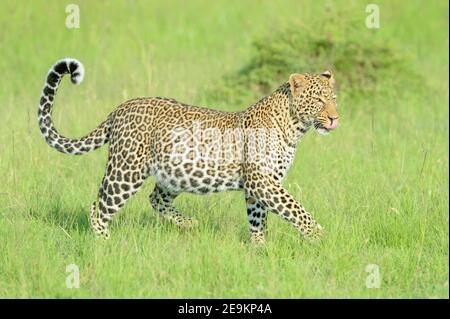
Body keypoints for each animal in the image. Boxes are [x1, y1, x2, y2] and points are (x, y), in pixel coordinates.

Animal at [38, 57, 340, 244]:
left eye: (334, 98)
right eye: (318, 99)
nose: (335, 118)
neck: (294, 126)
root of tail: (120, 108)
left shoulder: (258, 186)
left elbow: (258, 219)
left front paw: (259, 248)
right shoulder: (262, 181)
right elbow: (296, 209)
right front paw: (319, 237)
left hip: (176, 173)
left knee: (155, 199)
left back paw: (189, 224)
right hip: (126, 171)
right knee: (98, 208)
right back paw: (104, 243)